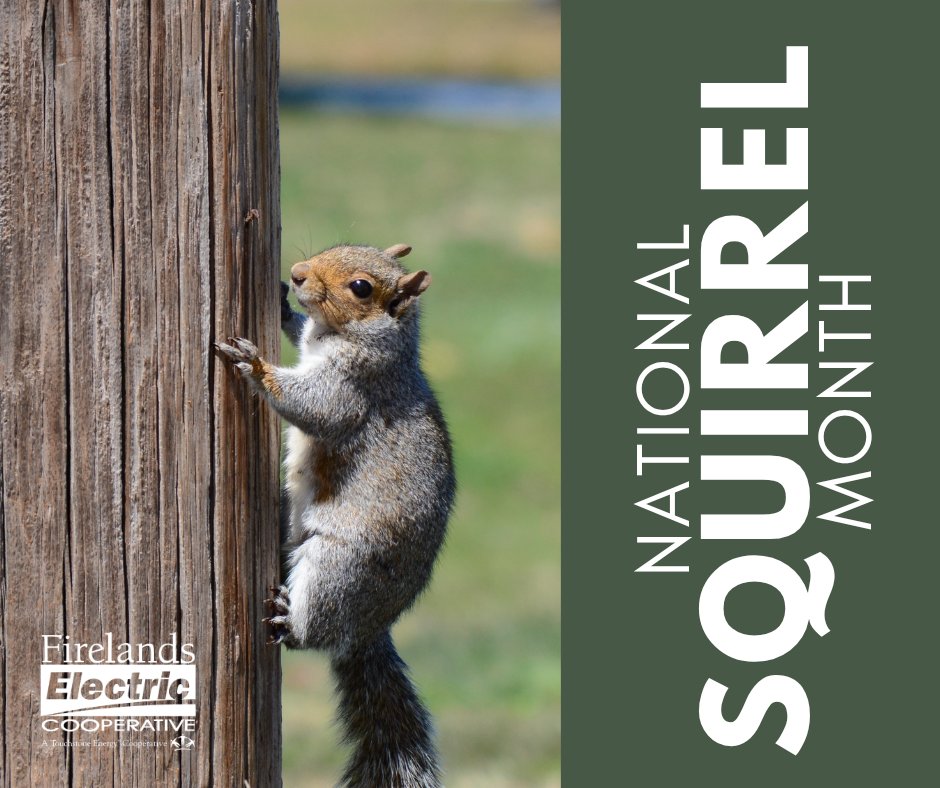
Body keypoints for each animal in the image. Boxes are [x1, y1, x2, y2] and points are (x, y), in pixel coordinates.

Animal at [214, 243, 456, 788]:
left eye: (361, 288)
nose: (298, 273)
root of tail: (369, 628)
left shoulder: (352, 389)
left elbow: (314, 407)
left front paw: (254, 364)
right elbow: (297, 329)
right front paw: (283, 305)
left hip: (339, 566)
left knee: (314, 629)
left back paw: (290, 620)